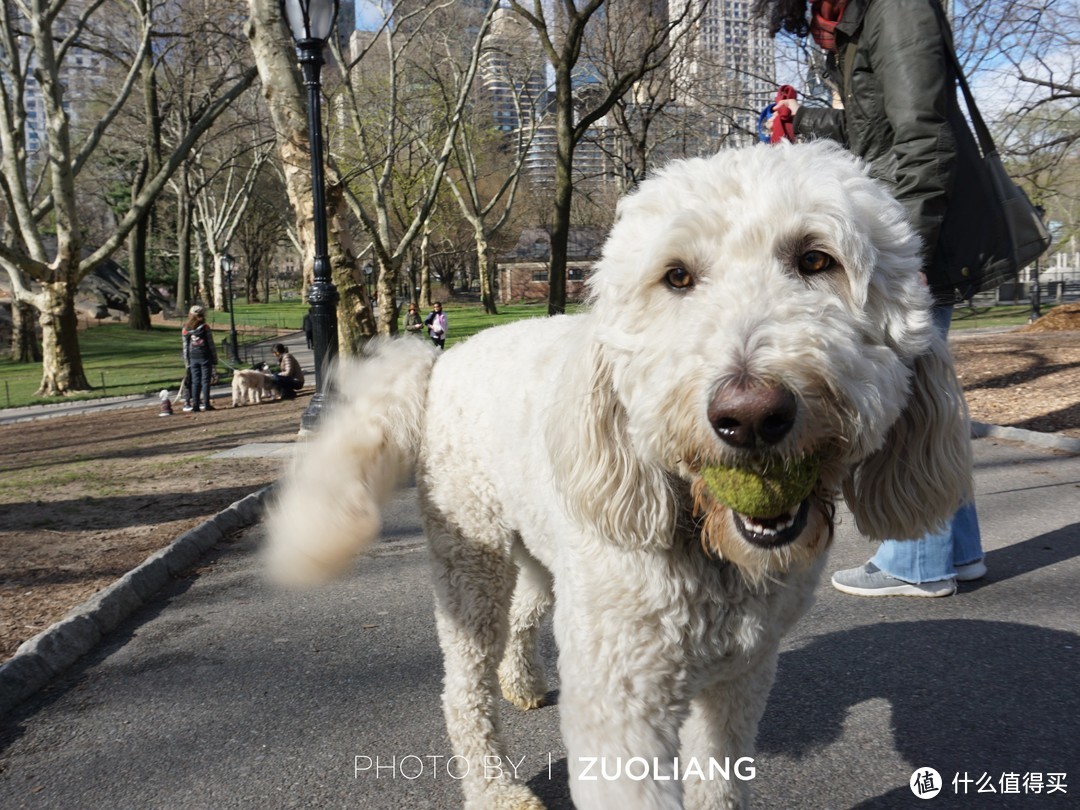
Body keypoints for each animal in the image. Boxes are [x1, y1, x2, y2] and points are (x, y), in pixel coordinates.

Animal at [267, 144, 972, 810]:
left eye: (817, 260)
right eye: (676, 276)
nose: (748, 416)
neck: (707, 544)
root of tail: (443, 360)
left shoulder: (741, 677)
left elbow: (720, 781)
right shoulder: (621, 702)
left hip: (542, 554)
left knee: (525, 612)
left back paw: (522, 683)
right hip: (470, 556)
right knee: (463, 687)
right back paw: (495, 788)